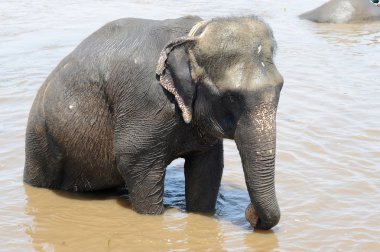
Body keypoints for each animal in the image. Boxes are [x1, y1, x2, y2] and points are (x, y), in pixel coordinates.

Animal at [23, 14, 284, 229]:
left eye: (280, 87)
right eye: (230, 96)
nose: (251, 214)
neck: (192, 38)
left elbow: (207, 166)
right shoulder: (145, 100)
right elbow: (135, 162)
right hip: (41, 142)